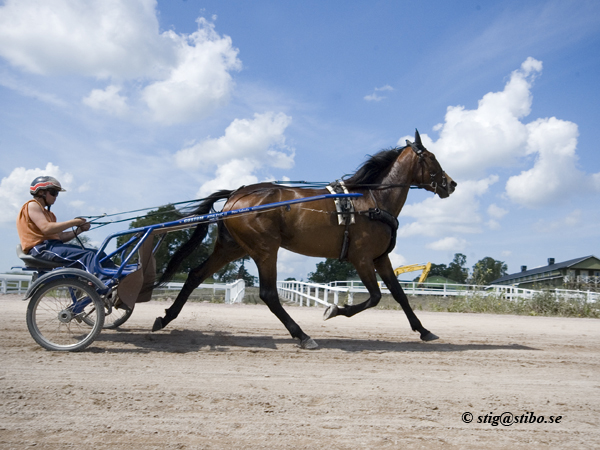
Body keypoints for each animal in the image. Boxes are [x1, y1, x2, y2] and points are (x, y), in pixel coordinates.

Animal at [152, 130, 458, 348]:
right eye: (432, 157)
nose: (451, 183)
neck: (371, 200)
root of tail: (237, 194)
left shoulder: (380, 258)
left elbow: (399, 294)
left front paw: (424, 330)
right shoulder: (361, 258)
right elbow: (374, 297)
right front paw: (334, 310)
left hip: (232, 248)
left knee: (194, 275)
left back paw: (165, 318)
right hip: (265, 249)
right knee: (268, 294)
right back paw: (302, 335)